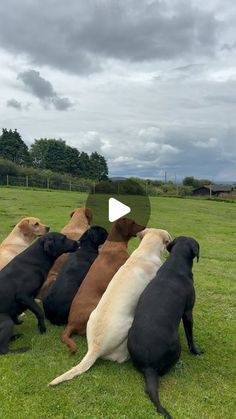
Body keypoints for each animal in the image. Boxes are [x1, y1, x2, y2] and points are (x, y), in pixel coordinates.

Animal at [127, 238, 203, 418]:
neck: (175, 266)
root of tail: (149, 367)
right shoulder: (188, 312)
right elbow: (190, 336)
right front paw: (196, 351)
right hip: (176, 347)